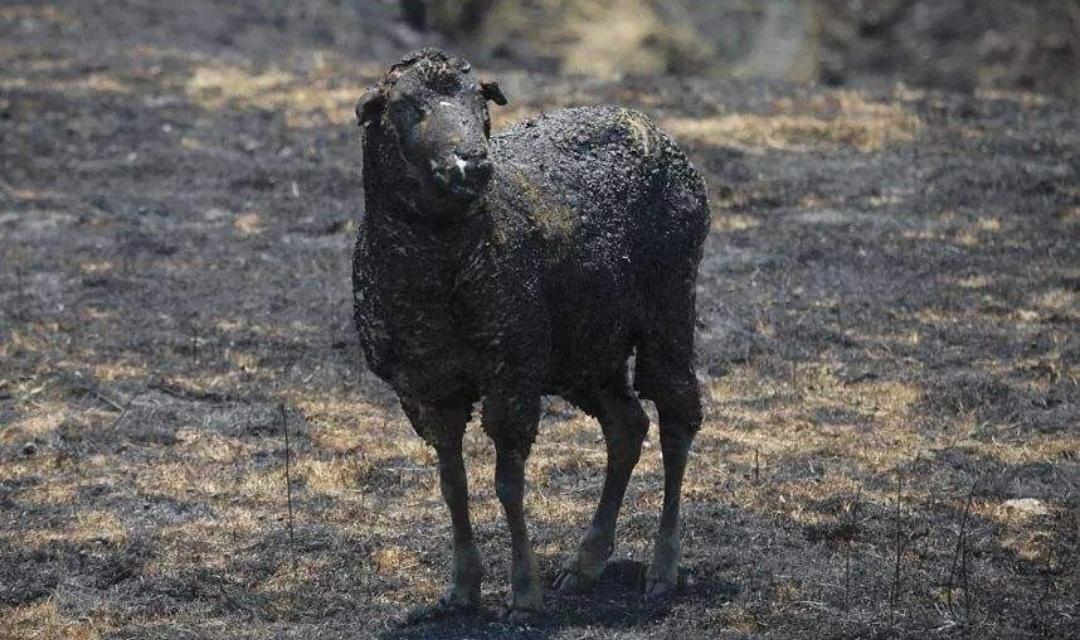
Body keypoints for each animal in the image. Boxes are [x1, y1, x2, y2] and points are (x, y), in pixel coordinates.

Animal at [352, 49, 708, 617]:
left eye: (480, 103)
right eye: (406, 105)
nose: (472, 163)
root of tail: (646, 122)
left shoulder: (512, 370)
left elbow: (508, 485)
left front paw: (523, 593)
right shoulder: (424, 389)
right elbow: (452, 484)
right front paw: (462, 588)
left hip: (669, 305)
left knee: (677, 418)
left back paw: (662, 569)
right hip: (585, 346)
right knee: (627, 425)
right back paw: (584, 564)